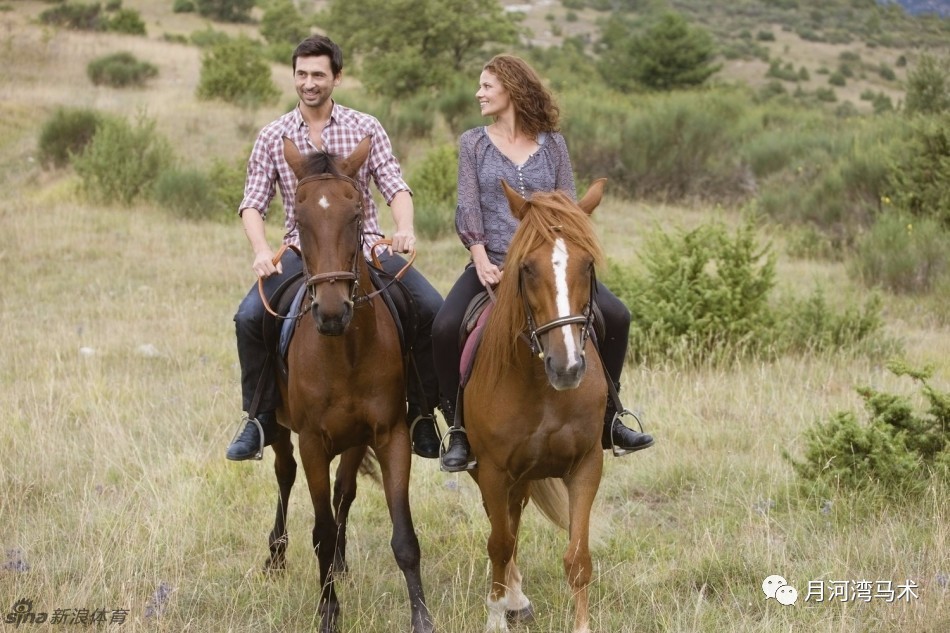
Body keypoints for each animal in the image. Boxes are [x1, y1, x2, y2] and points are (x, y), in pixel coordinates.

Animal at [264, 137, 436, 632]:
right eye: (299, 221)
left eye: (356, 214)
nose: (331, 311)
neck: (344, 352)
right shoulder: (312, 442)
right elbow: (320, 528)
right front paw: (328, 611)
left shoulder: (390, 434)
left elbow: (404, 536)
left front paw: (421, 616)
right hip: (279, 427)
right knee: (284, 474)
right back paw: (275, 557)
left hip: (356, 440)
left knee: (345, 490)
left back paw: (340, 563)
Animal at [466, 178, 608, 632]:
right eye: (527, 268)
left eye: (588, 265)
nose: (567, 367)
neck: (544, 392)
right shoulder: (493, 470)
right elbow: (498, 543)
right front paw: (496, 617)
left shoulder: (586, 465)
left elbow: (578, 559)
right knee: (504, 531)